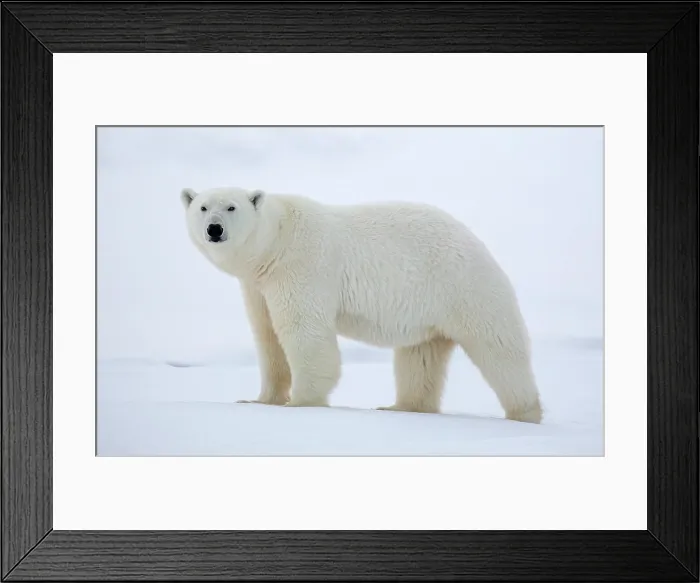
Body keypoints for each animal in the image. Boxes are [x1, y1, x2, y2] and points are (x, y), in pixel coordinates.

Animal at [180, 186, 543, 424]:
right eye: (202, 207)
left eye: (231, 207)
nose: (214, 229)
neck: (276, 242)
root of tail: (477, 242)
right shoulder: (258, 286)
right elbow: (267, 336)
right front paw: (259, 400)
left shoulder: (302, 266)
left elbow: (303, 331)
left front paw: (301, 402)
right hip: (429, 312)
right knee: (420, 357)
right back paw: (401, 407)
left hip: (464, 287)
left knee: (499, 350)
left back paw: (525, 413)